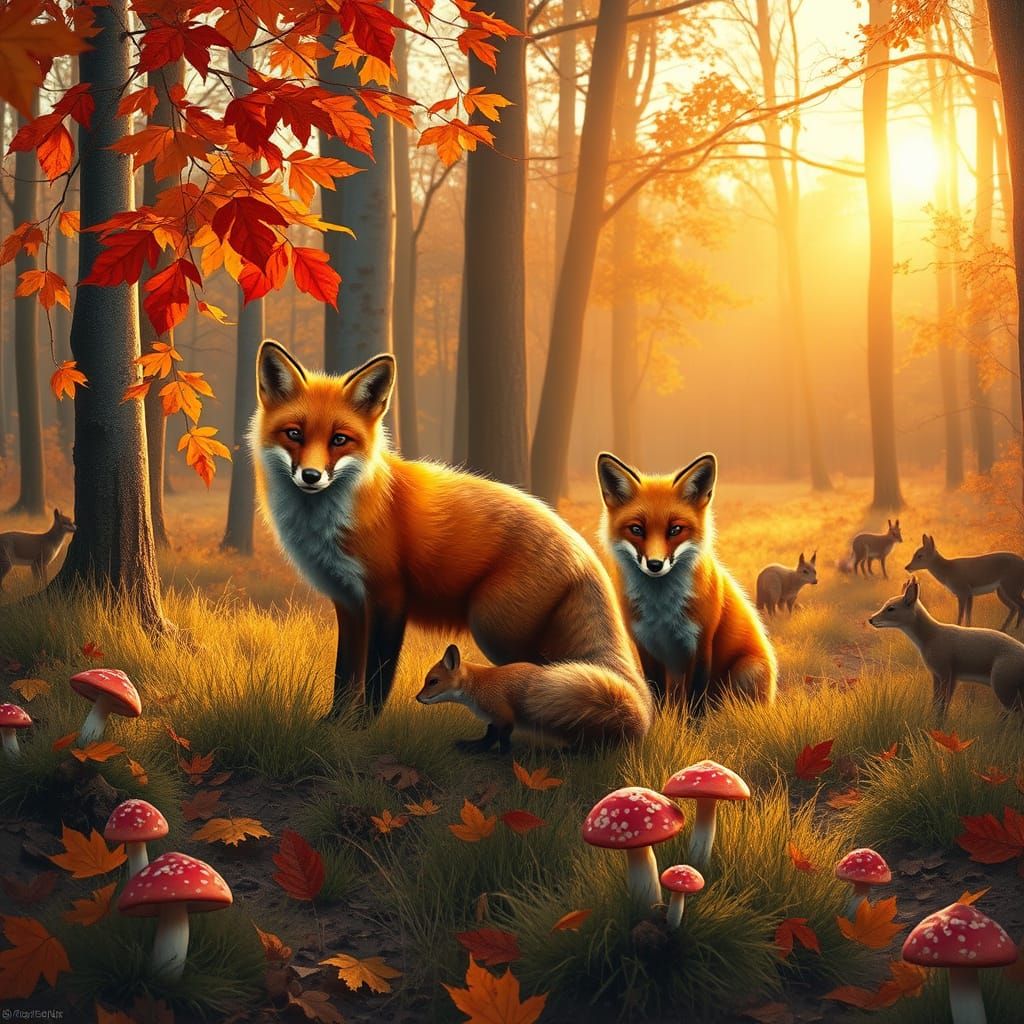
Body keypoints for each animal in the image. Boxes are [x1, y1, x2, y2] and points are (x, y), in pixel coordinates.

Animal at [250, 341, 654, 739]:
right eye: (295, 434)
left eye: (339, 440)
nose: (311, 476)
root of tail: (584, 551)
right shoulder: (348, 602)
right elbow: (344, 674)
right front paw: (334, 723)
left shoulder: (389, 598)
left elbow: (377, 675)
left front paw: (363, 727)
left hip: (494, 627)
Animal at [416, 642, 650, 752]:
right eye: (426, 681)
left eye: (433, 681)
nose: (418, 698)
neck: (480, 685)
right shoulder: (494, 719)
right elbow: (488, 735)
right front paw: (474, 746)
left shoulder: (504, 716)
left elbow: (501, 739)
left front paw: (499, 754)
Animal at [597, 451, 777, 710]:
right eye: (636, 530)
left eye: (675, 530)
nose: (655, 564)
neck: (661, 610)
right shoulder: (646, 645)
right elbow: (656, 692)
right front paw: (659, 720)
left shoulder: (700, 643)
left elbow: (695, 697)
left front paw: (693, 722)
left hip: (746, 670)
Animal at [868, 576, 1024, 717]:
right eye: (885, 605)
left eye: (891, 608)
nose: (871, 619)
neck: (931, 637)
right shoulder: (939, 675)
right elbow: (937, 703)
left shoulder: (945, 672)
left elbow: (942, 705)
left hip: (1002, 687)